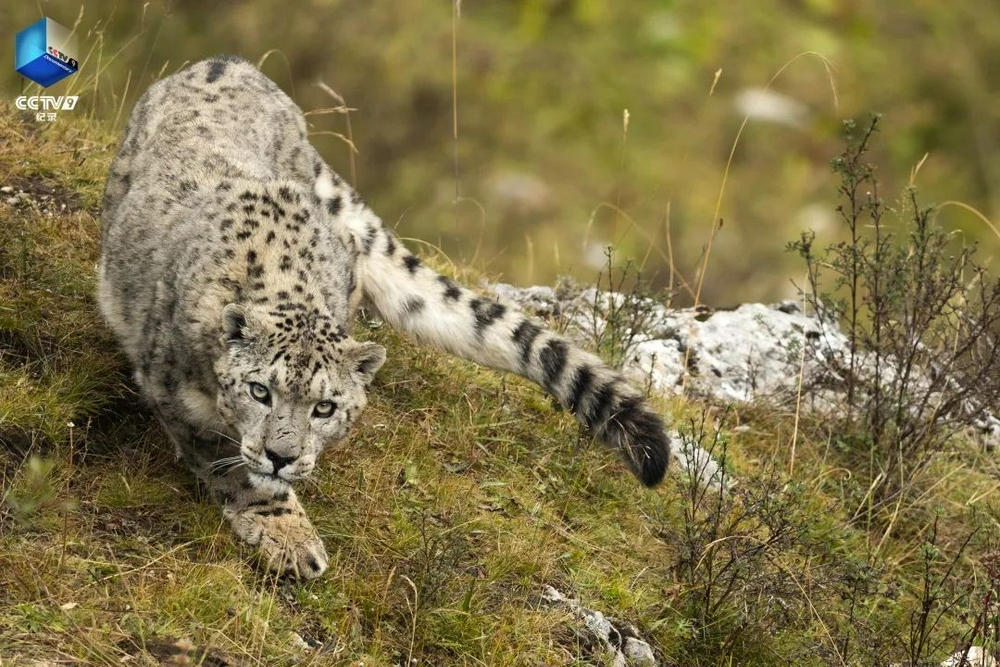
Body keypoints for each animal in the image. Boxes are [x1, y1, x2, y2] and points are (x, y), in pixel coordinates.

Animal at [99, 56, 672, 580]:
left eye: (325, 407)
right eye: (260, 390)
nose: (283, 455)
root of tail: (228, 62)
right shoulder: (176, 396)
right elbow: (235, 469)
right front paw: (291, 537)